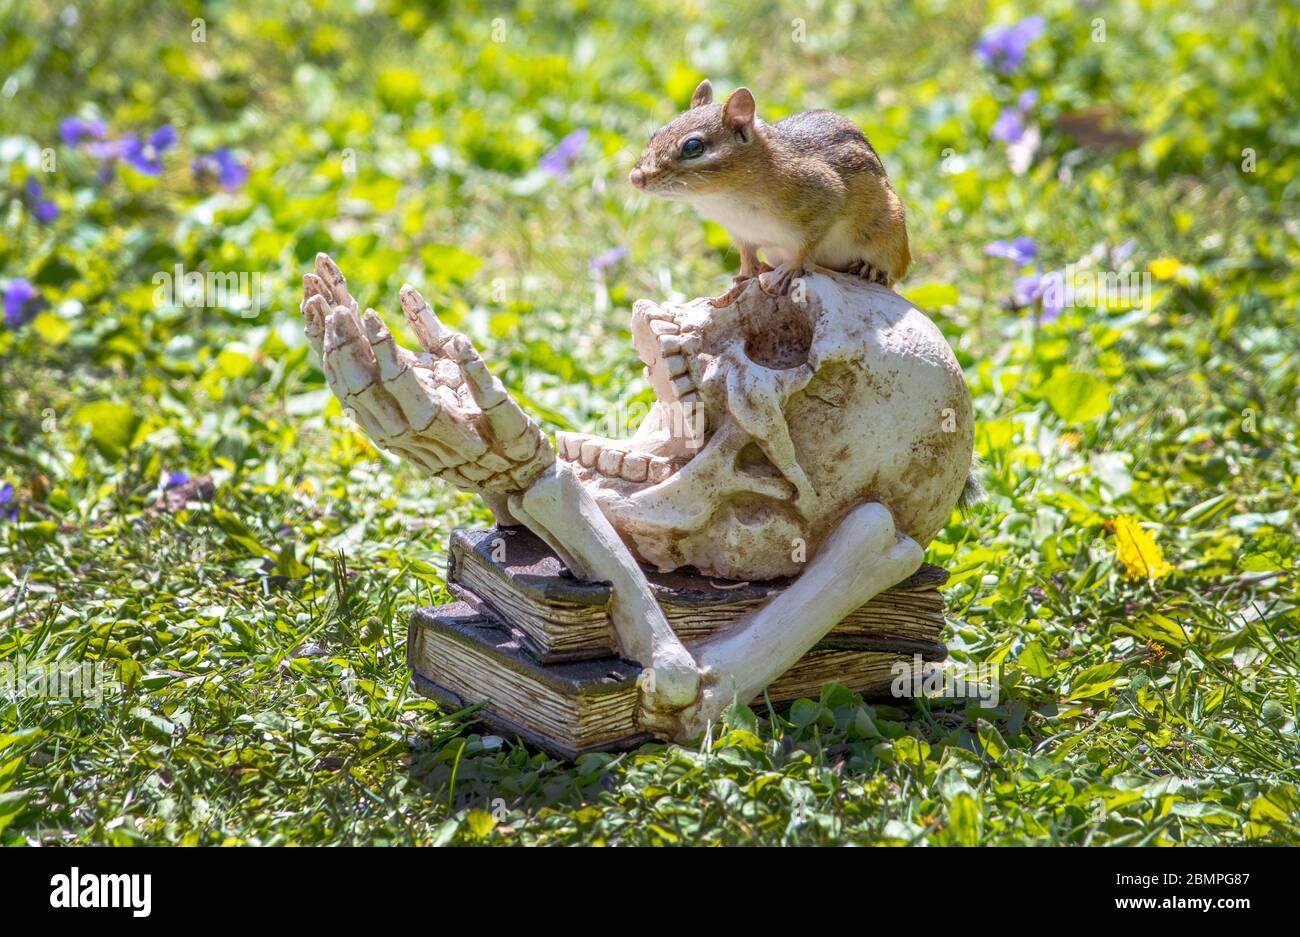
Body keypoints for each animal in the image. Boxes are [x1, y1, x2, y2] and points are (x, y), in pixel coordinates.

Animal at [630, 80, 911, 305]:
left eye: (692, 146)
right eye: (656, 133)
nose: (636, 178)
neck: (726, 200)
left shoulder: (827, 196)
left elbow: (807, 245)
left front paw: (791, 270)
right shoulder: (741, 233)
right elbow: (746, 256)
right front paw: (740, 281)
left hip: (891, 235)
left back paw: (870, 270)